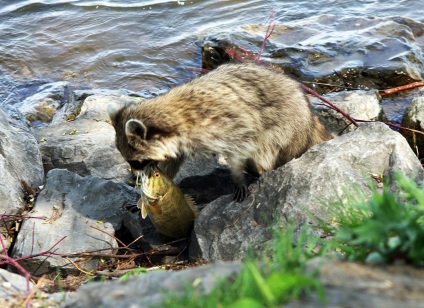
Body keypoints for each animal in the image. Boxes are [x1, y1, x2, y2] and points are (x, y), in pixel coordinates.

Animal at [107, 62, 332, 202]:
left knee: (266, 146)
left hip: (287, 127)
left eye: (137, 162)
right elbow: (173, 160)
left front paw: (238, 176)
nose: (133, 175)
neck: (174, 115)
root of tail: (310, 117)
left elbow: (241, 144)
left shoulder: (225, 122)